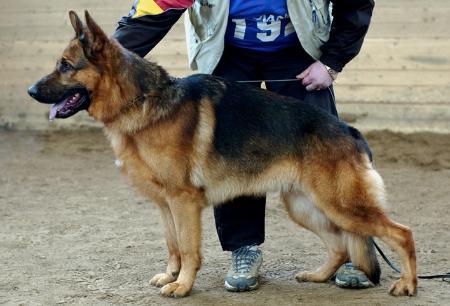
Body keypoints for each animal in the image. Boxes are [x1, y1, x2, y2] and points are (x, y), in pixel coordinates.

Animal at [27, 11, 418, 296]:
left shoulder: (183, 202)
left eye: (65, 66)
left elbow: (188, 248)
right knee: (340, 245)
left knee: (401, 234)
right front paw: (171, 277)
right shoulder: (165, 204)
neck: (140, 101)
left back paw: (407, 284)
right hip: (305, 206)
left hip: (342, 206)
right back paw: (318, 276)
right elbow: (172, 245)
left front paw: (183, 286)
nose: (30, 90)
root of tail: (351, 132)